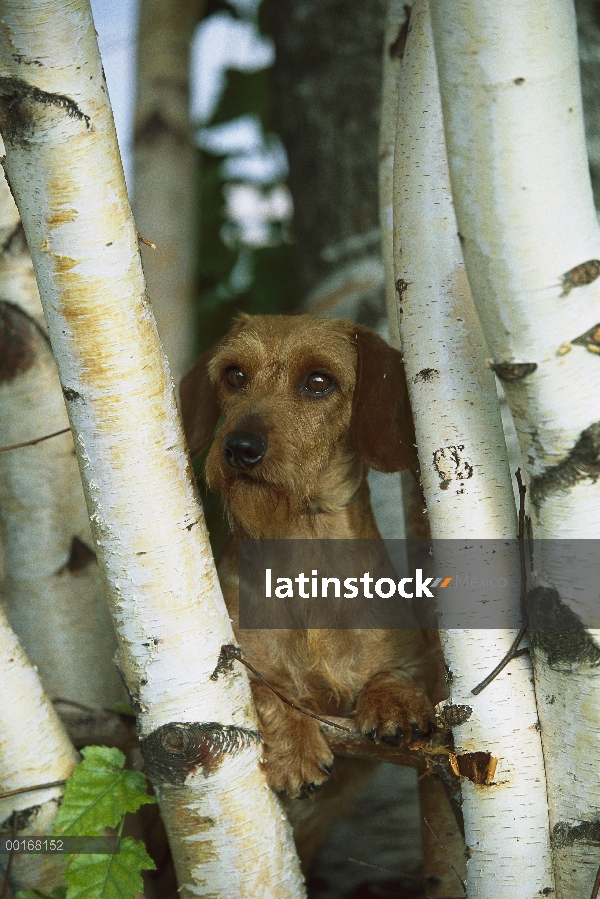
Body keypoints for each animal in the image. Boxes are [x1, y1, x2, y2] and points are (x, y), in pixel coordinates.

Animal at [178, 312, 436, 868]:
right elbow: (270, 691)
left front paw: (396, 703)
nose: (239, 448)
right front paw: (296, 751)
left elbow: (397, 675)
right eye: (234, 375)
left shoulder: (417, 657)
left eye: (318, 381)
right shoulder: (240, 664)